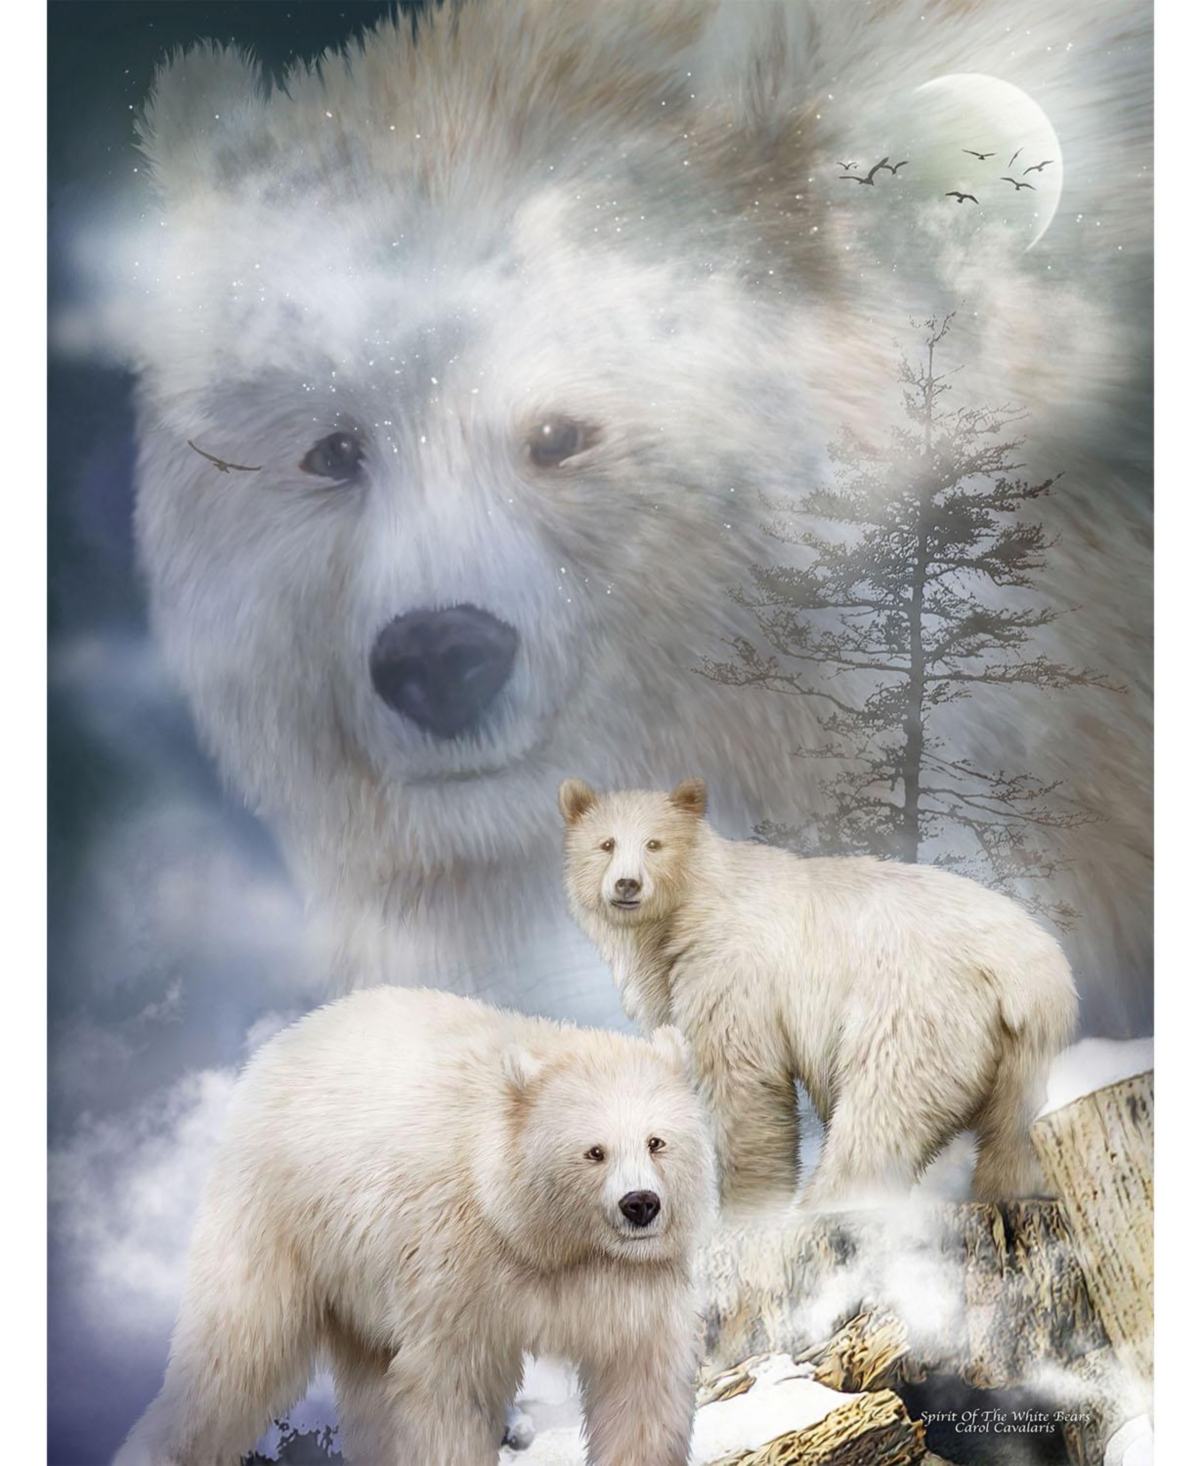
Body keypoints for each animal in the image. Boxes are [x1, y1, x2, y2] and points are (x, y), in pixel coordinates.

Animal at [112, 988, 717, 1466]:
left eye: (657, 1141)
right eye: (594, 1151)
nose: (640, 1205)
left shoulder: (626, 1284)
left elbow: (639, 1384)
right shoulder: (458, 1267)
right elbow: (450, 1388)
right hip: (279, 1215)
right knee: (235, 1350)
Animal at [559, 777, 1078, 1213]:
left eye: (654, 843)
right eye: (606, 844)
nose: (627, 884)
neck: (685, 911)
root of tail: (1028, 967)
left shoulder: (730, 967)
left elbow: (743, 1081)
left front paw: (749, 1207)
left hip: (916, 1009)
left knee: (881, 1109)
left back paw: (827, 1204)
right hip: (1024, 1050)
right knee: (1013, 1130)